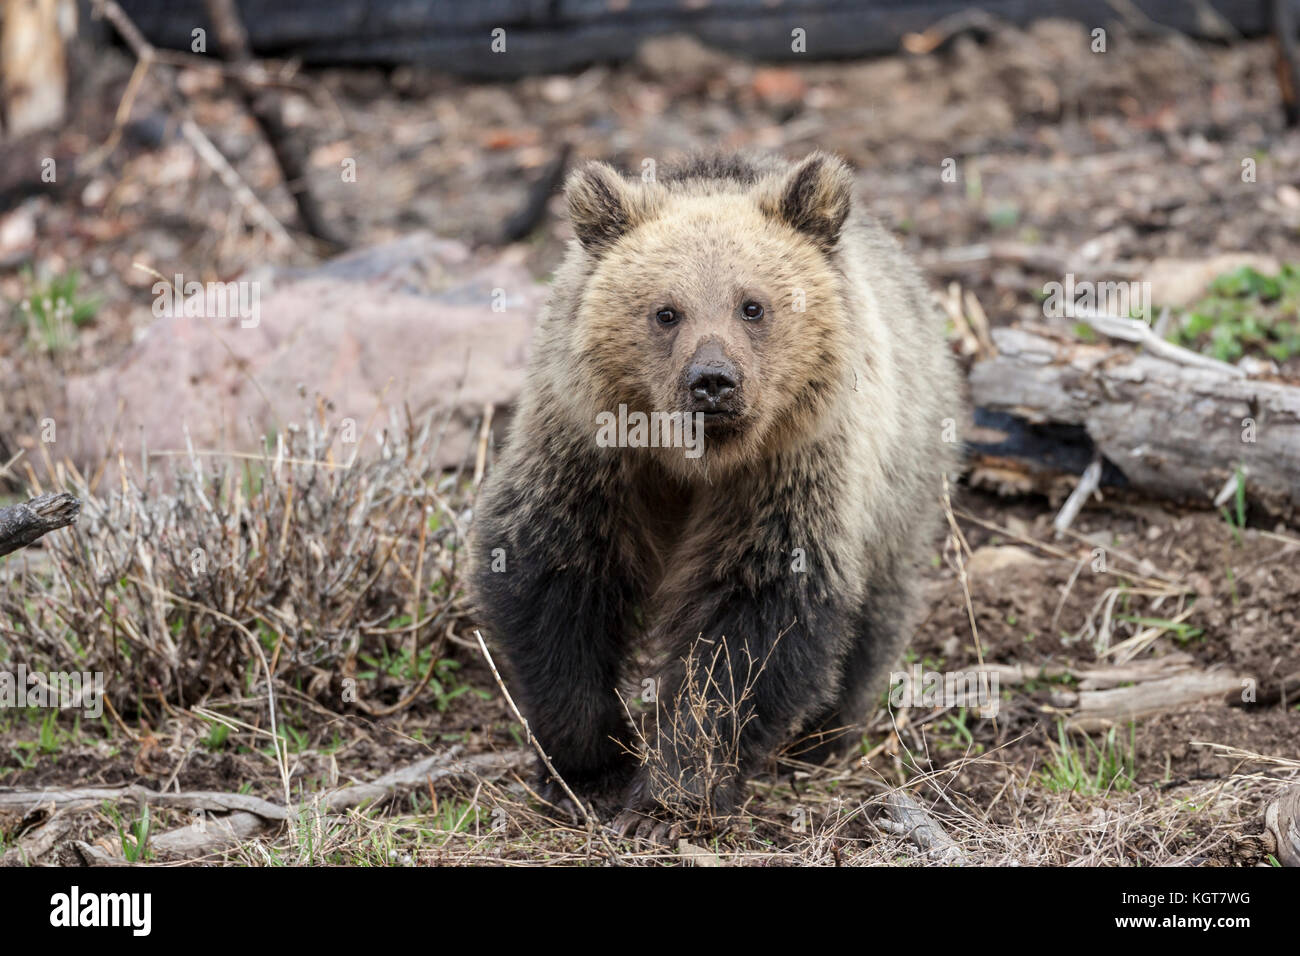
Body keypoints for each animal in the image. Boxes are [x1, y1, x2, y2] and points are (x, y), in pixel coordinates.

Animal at [470, 151, 962, 838]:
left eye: (752, 306)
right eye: (665, 311)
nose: (712, 381)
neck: (694, 462)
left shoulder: (787, 474)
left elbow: (753, 621)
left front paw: (671, 794)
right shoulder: (590, 454)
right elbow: (554, 581)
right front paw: (590, 771)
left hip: (901, 474)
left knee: (879, 605)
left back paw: (824, 731)